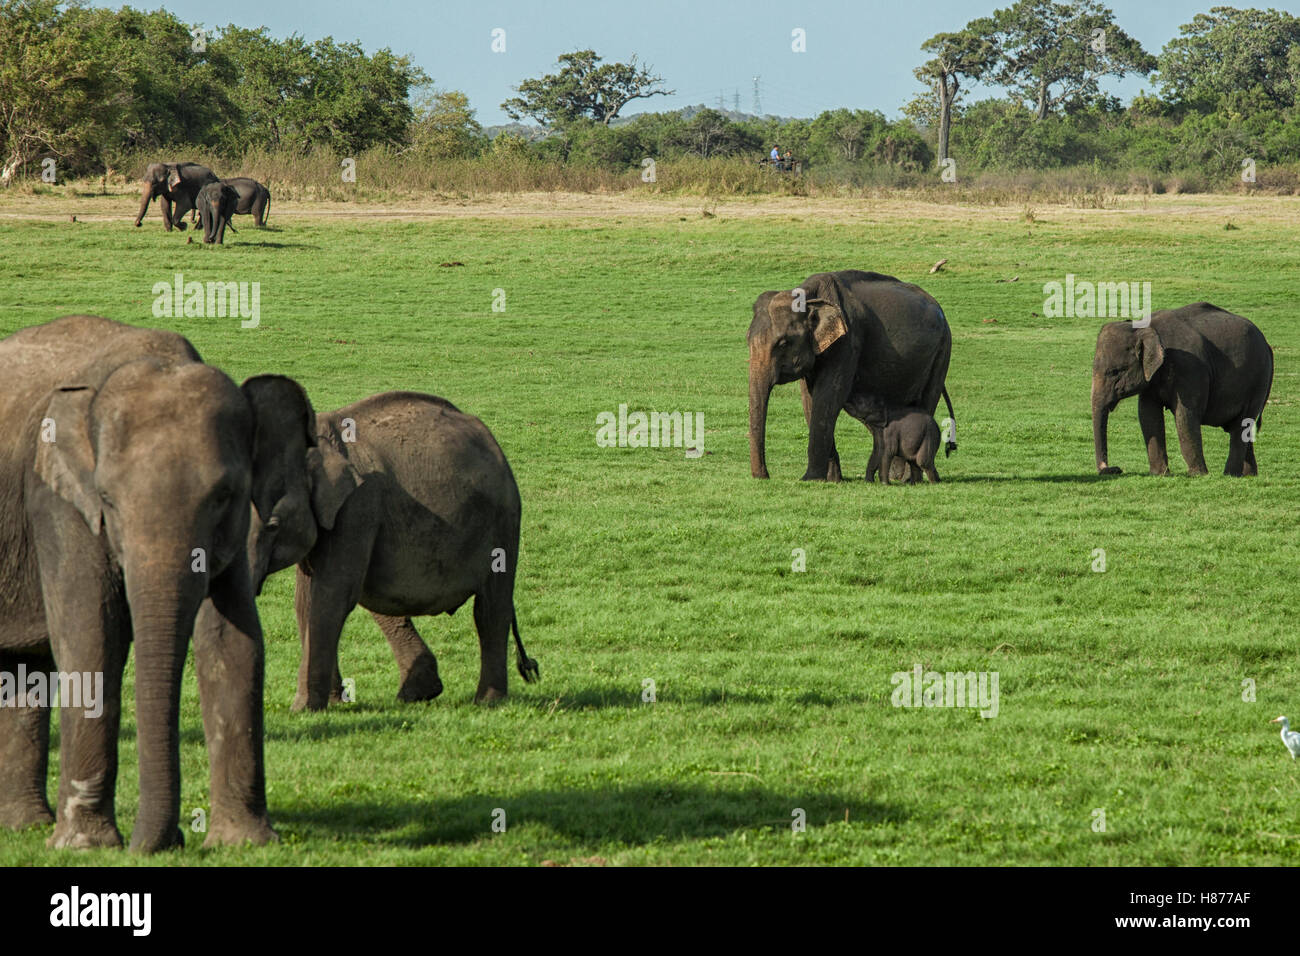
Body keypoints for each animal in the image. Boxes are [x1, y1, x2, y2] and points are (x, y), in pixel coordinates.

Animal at [0, 317, 274, 858]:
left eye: (225, 495)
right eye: (107, 498)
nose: (169, 843)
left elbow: (234, 643)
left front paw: (244, 841)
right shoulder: (59, 504)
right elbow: (90, 639)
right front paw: (85, 846)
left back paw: (23, 826)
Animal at [241, 382, 540, 712]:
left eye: (273, 525)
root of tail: (489, 438)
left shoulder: (358, 507)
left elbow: (331, 595)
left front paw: (303, 709)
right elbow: (306, 600)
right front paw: (330, 703)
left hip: (503, 520)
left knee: (490, 609)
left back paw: (486, 702)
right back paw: (419, 691)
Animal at [748, 267, 951, 478]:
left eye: (783, 343)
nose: (765, 476)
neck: (809, 296)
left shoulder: (848, 341)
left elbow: (829, 395)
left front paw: (809, 479)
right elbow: (810, 400)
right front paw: (832, 480)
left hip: (942, 352)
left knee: (926, 402)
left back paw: (905, 478)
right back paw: (897, 476)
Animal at [1092, 303, 1274, 476]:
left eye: (1115, 372)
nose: (1115, 469)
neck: (1144, 328)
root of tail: (1267, 345)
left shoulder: (1189, 367)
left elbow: (1185, 415)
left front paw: (1198, 475)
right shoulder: (1152, 378)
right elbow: (1147, 414)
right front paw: (1159, 474)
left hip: (1258, 382)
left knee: (1241, 425)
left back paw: (1230, 474)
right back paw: (1249, 475)